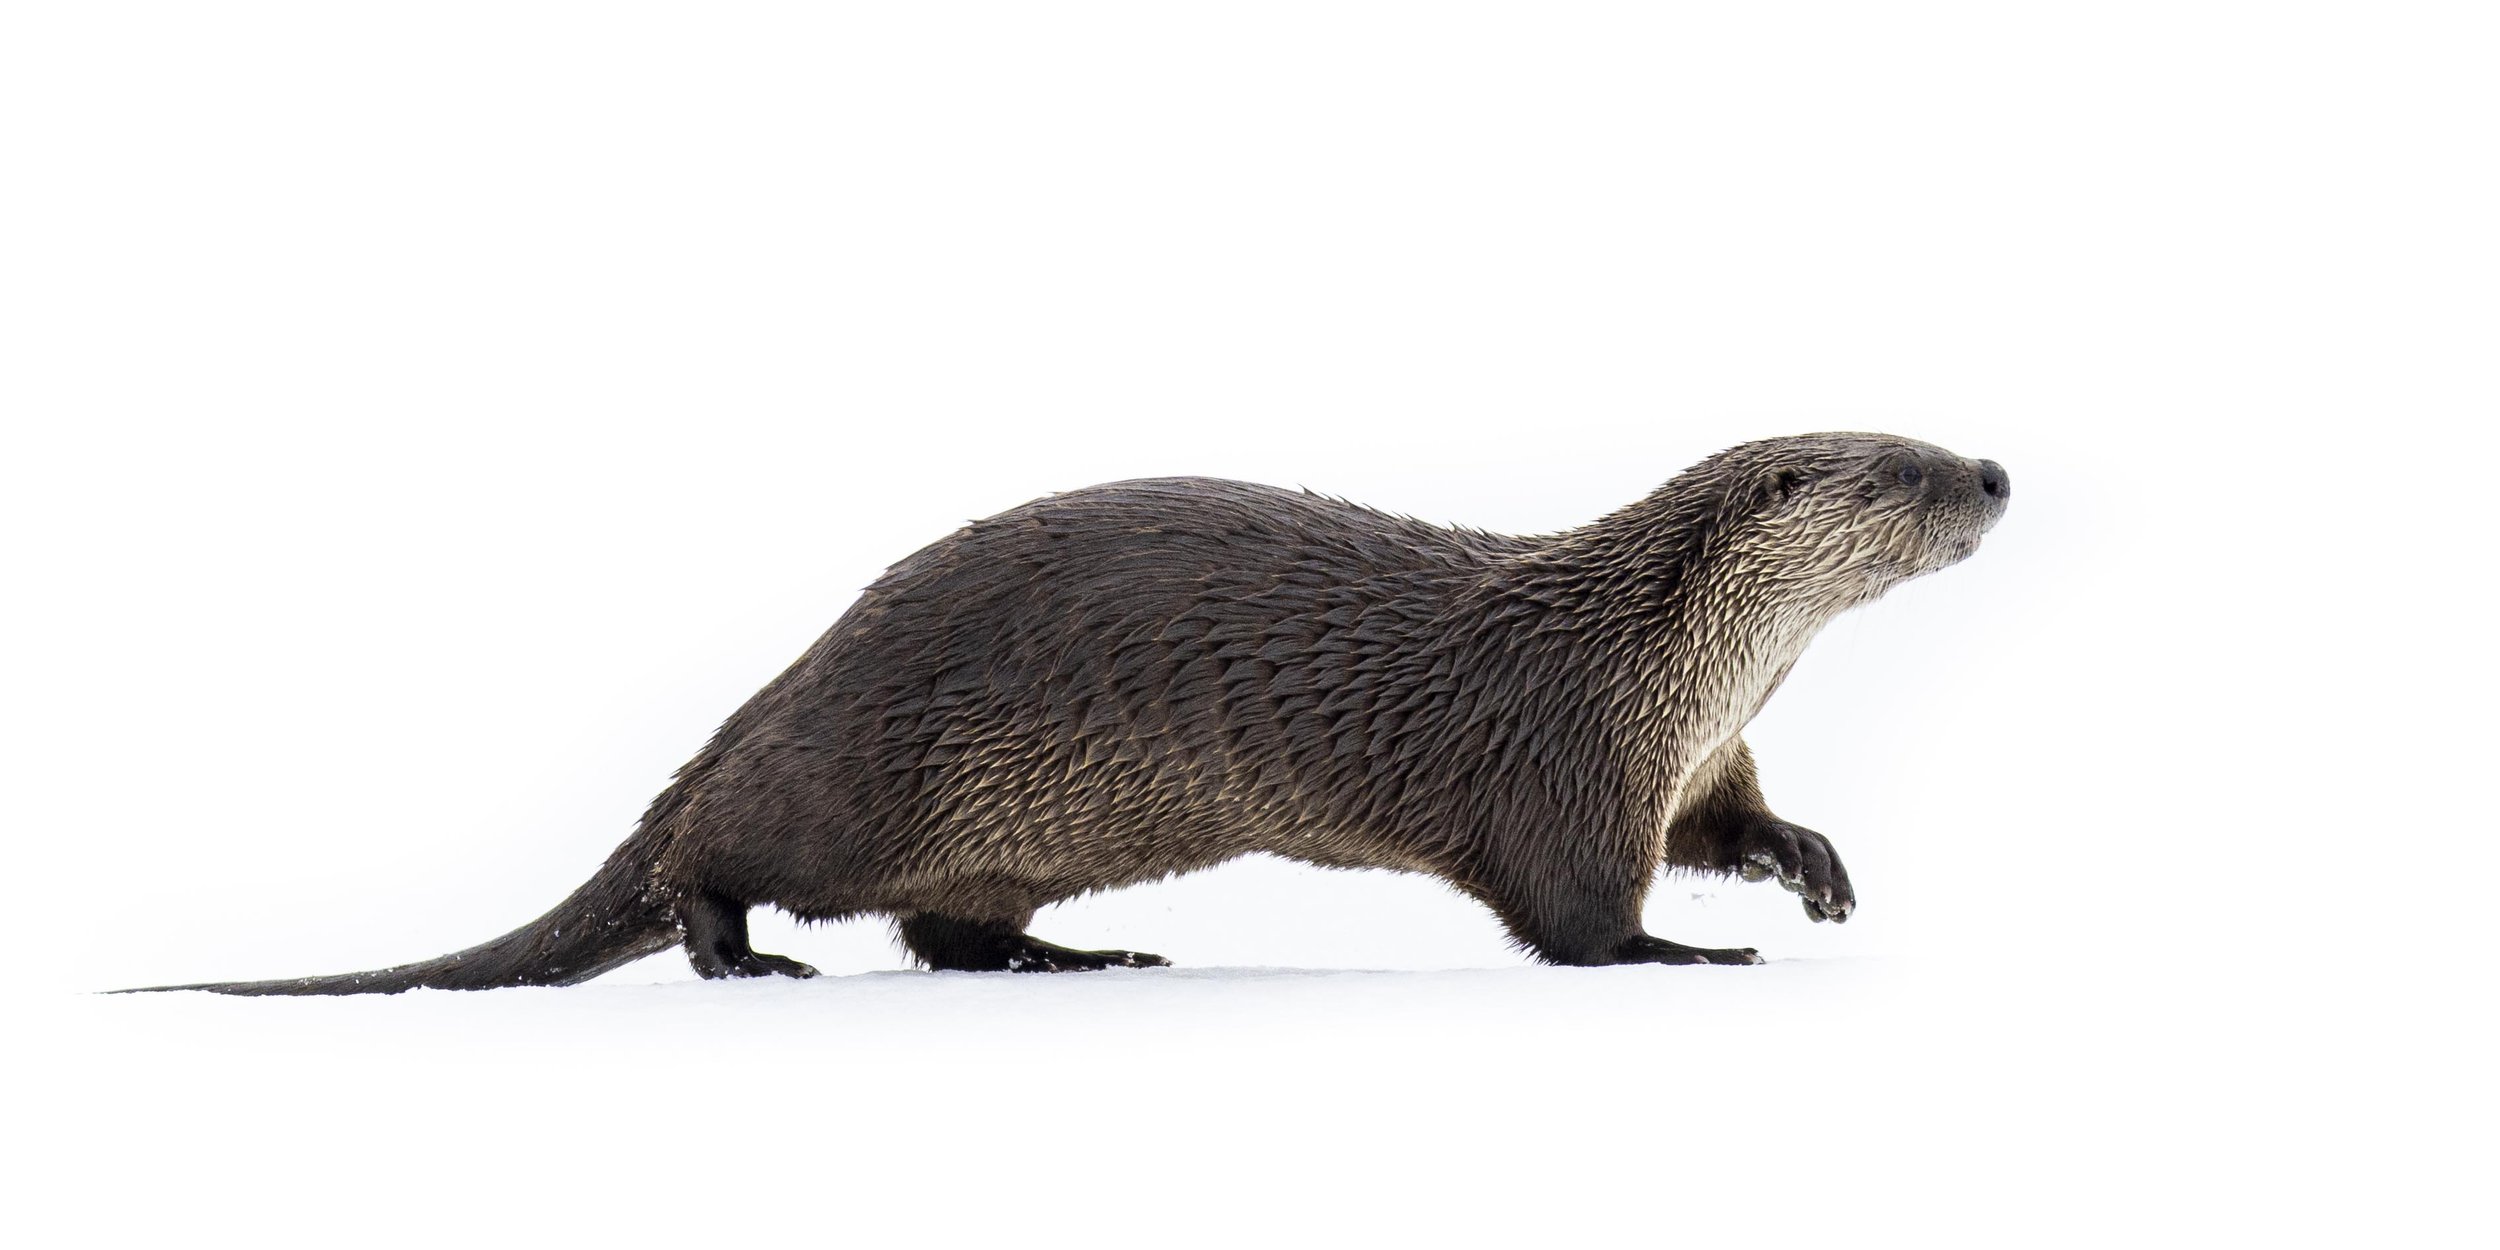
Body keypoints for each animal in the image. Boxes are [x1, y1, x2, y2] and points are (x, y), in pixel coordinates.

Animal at [122, 432, 2008, 994]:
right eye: (1903, 463)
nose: (1992, 469)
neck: (1663, 663)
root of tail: (778, 686)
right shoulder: (1563, 758)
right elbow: (1576, 918)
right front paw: (1689, 955)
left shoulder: (1692, 759)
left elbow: (1735, 827)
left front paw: (1812, 869)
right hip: (847, 774)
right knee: (714, 856)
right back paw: (739, 956)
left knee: (947, 931)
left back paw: (1065, 954)